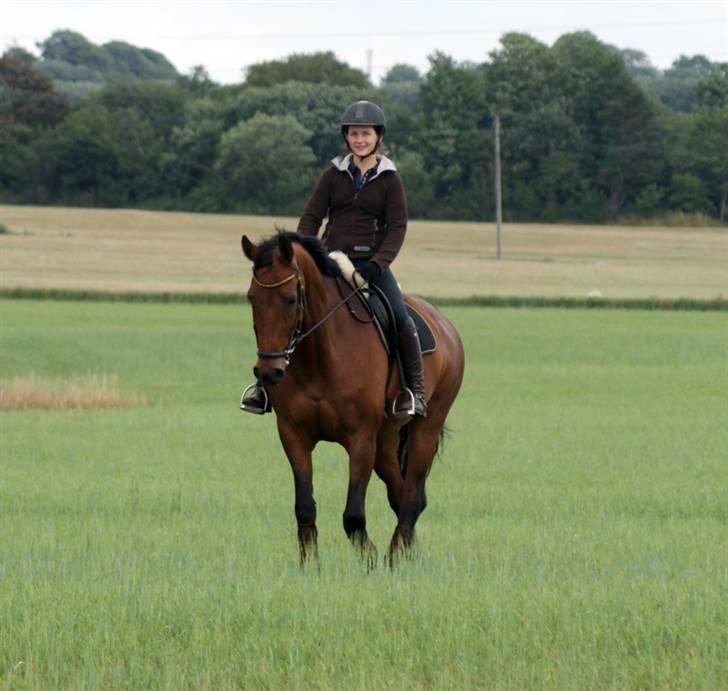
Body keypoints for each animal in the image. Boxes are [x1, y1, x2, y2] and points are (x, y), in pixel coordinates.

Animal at [242, 232, 464, 568]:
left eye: (290, 299)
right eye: (252, 298)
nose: (269, 372)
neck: (320, 356)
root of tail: (444, 324)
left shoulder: (360, 438)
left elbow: (353, 514)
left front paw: (371, 562)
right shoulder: (293, 435)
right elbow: (304, 506)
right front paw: (310, 567)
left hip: (426, 427)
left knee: (413, 495)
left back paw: (396, 558)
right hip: (385, 440)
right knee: (399, 493)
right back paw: (407, 553)